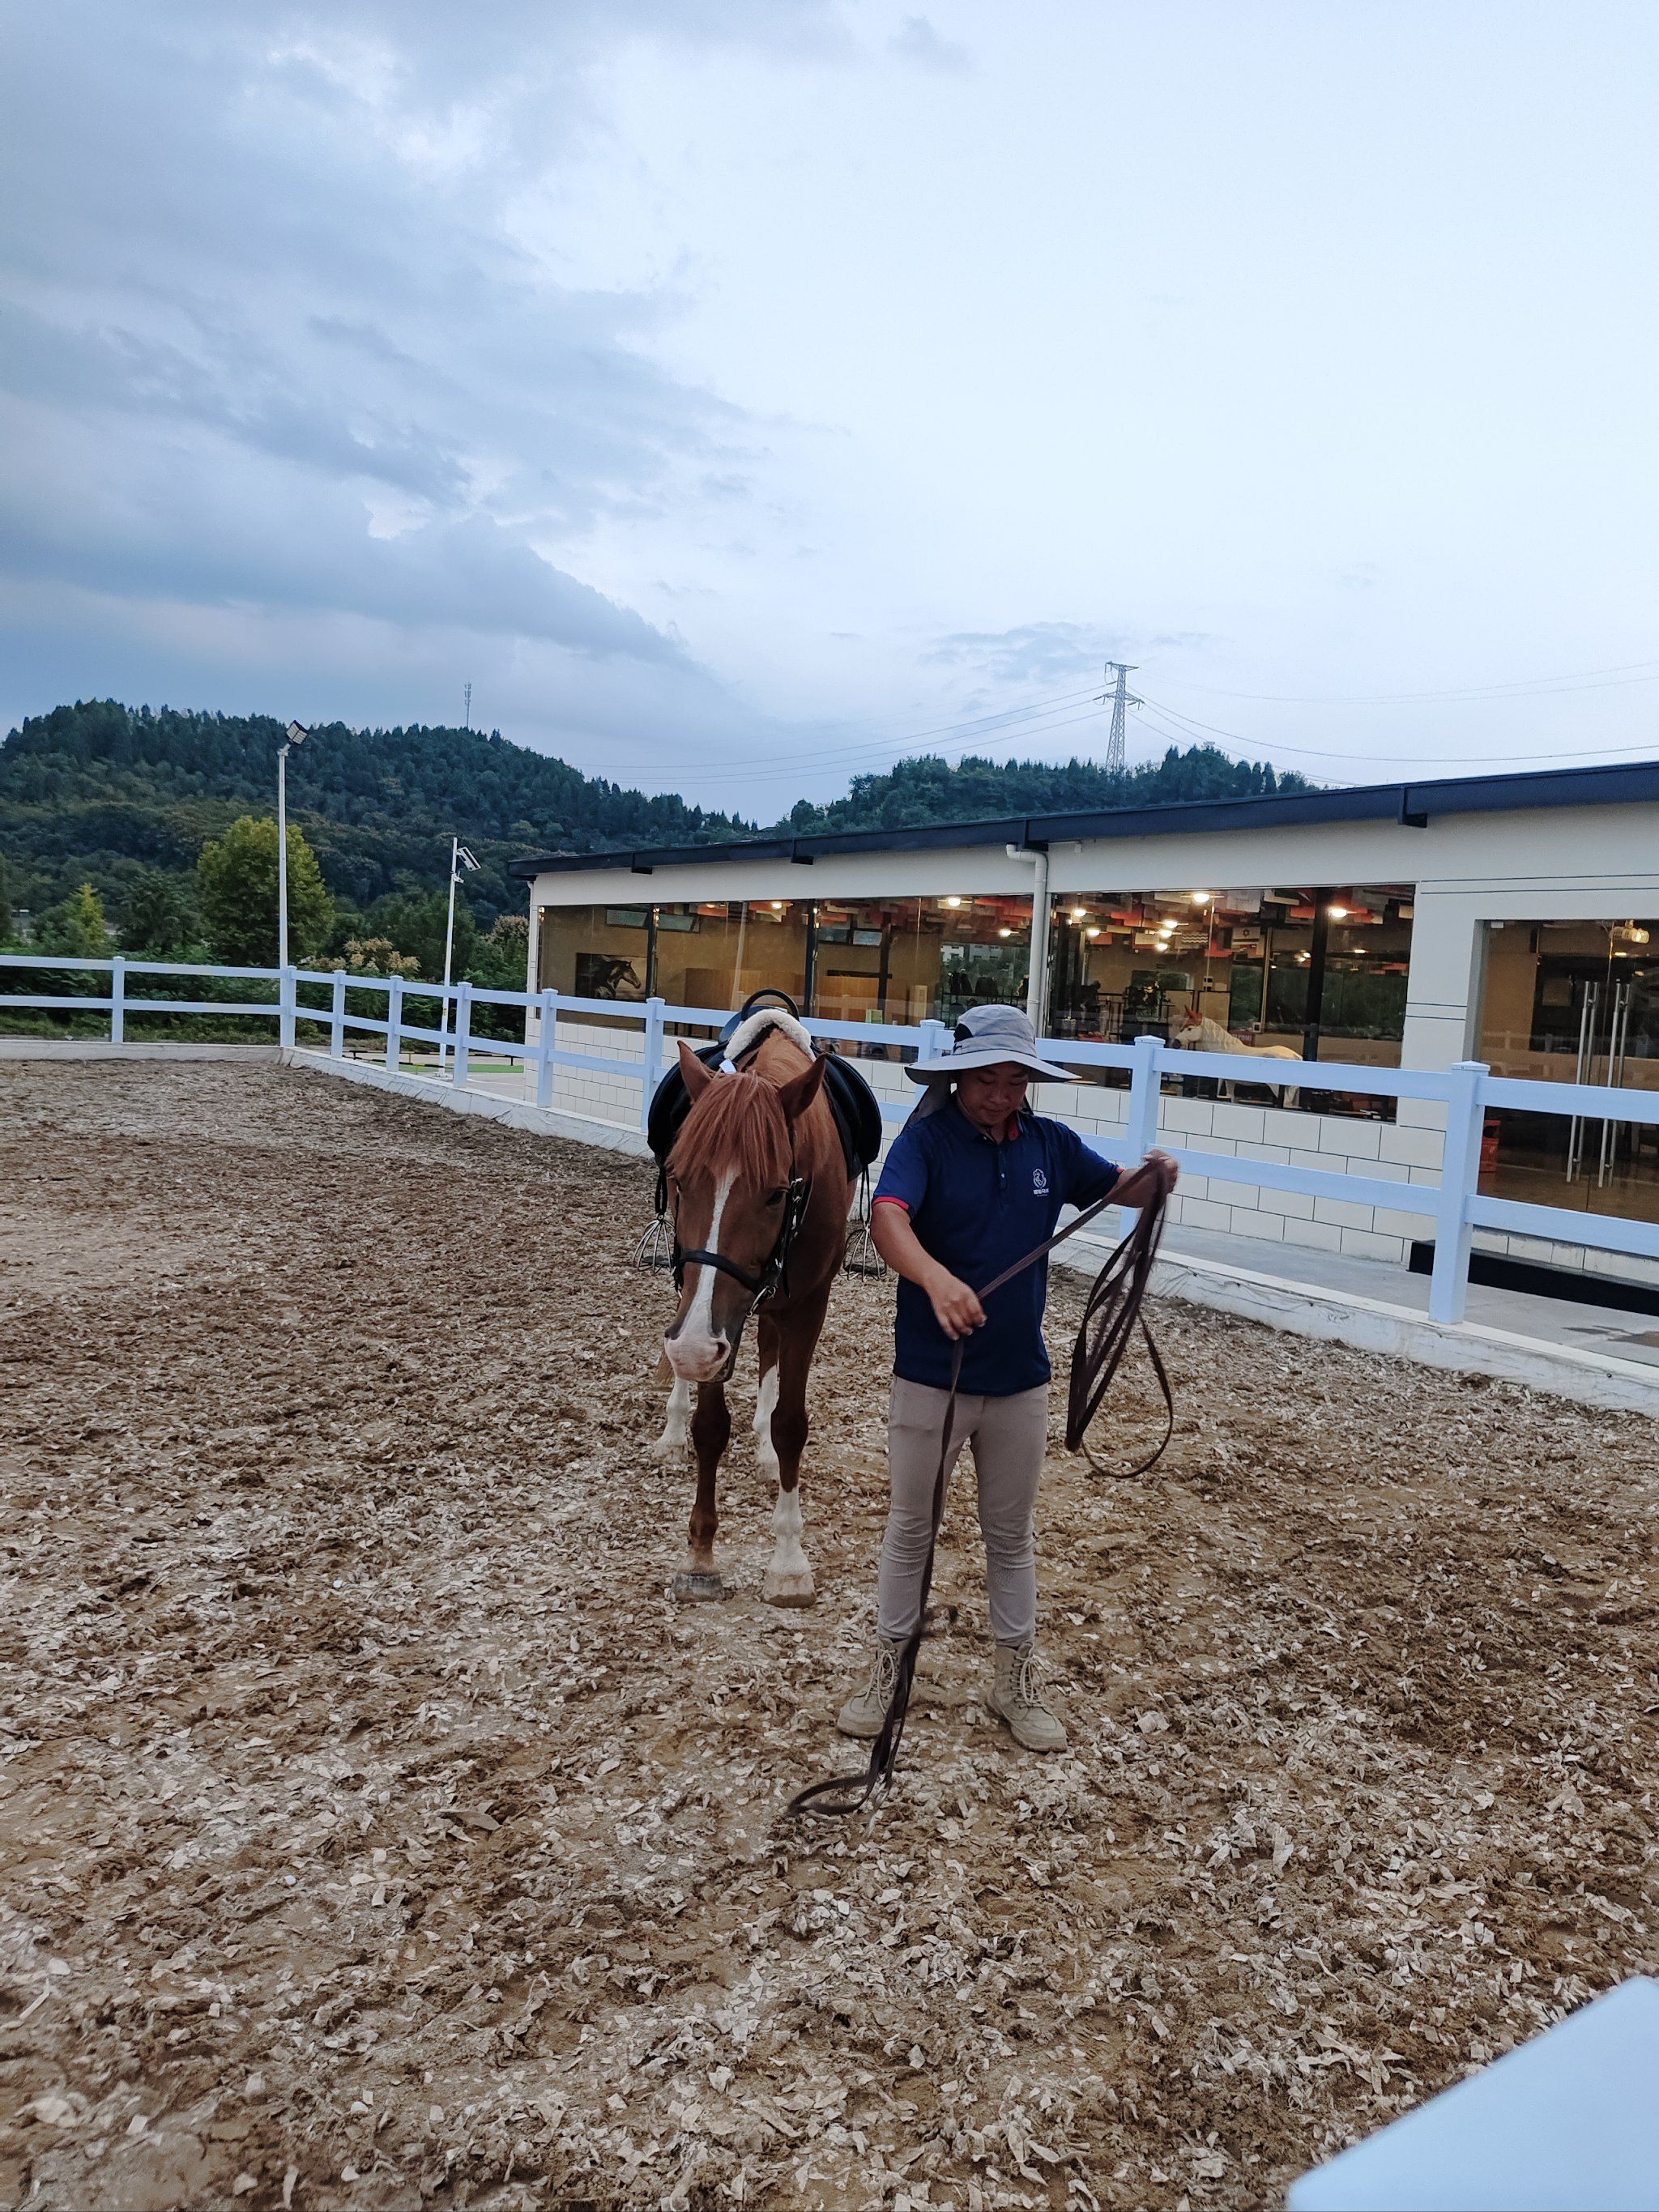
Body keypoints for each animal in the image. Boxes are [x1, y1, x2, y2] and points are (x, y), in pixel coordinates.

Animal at [654, 1008, 855, 1608]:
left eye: (774, 1193)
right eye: (680, 1177)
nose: (696, 1347)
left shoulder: (808, 1303)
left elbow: (791, 1423)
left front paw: (788, 1560)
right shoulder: (708, 1313)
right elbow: (710, 1425)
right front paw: (700, 1553)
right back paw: (671, 1429)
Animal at [1170, 1010, 1301, 1108]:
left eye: (1190, 1029)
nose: (1176, 1043)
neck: (1223, 1049)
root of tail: (1295, 1056)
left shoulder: (1218, 1079)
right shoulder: (1229, 1081)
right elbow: (1230, 1097)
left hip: (1277, 1087)